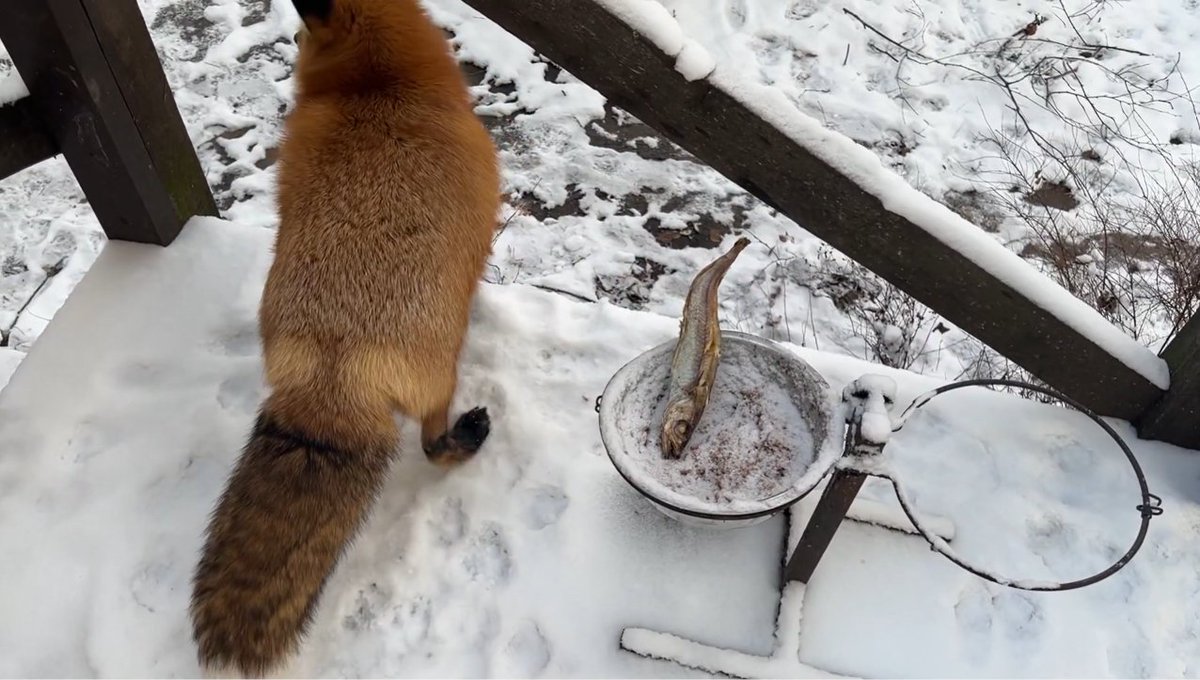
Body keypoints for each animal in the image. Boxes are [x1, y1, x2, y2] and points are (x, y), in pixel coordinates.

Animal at [188, 0, 501, 674]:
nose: (291, 38)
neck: (385, 88)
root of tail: (337, 373)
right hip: (441, 380)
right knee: (432, 446)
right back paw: (465, 438)